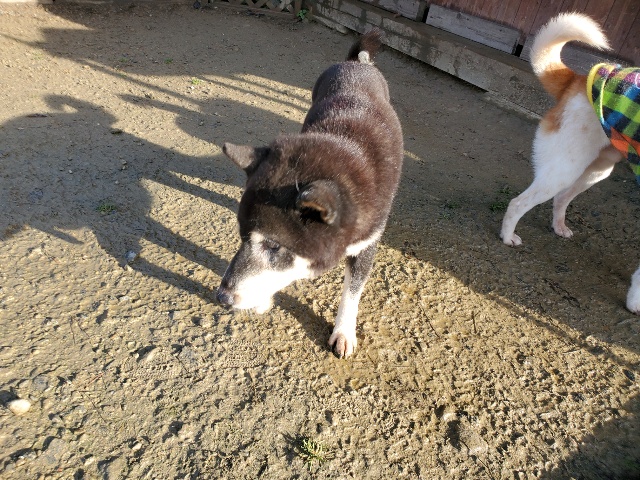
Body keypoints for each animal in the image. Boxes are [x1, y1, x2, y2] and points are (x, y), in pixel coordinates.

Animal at [216, 29, 404, 358]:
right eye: (241, 237)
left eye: (274, 246)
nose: (221, 297)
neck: (346, 145)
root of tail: (356, 63)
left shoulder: (367, 245)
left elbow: (352, 293)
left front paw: (343, 332)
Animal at [500, 12, 640, 312]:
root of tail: (576, 79)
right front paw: (635, 303)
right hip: (566, 168)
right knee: (518, 203)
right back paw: (507, 237)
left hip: (595, 170)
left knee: (561, 198)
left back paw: (559, 227)